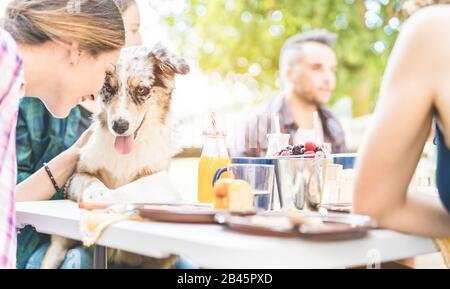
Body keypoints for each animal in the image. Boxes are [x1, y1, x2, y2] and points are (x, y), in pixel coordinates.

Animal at [40, 44, 190, 268]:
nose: (119, 126)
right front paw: (98, 193)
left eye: (142, 90)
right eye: (108, 88)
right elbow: (90, 180)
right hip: (58, 246)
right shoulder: (80, 171)